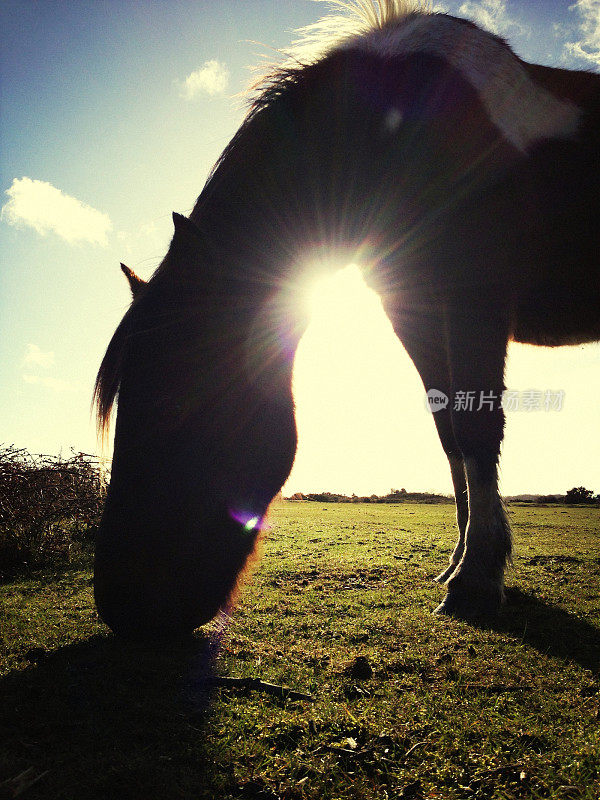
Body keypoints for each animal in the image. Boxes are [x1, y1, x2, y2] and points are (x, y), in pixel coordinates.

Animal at [94, 0, 600, 636]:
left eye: (169, 400)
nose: (121, 605)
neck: (390, 136)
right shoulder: (417, 315)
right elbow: (449, 436)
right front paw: (457, 564)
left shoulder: (473, 303)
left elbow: (476, 428)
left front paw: (477, 580)